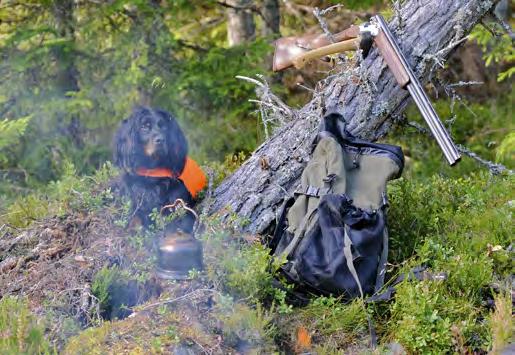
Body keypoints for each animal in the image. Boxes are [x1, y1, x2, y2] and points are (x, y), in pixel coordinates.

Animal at [114, 106, 206, 234]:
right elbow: (135, 219)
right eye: (144, 126)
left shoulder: (178, 204)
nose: (160, 140)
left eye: (164, 126)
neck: (152, 172)